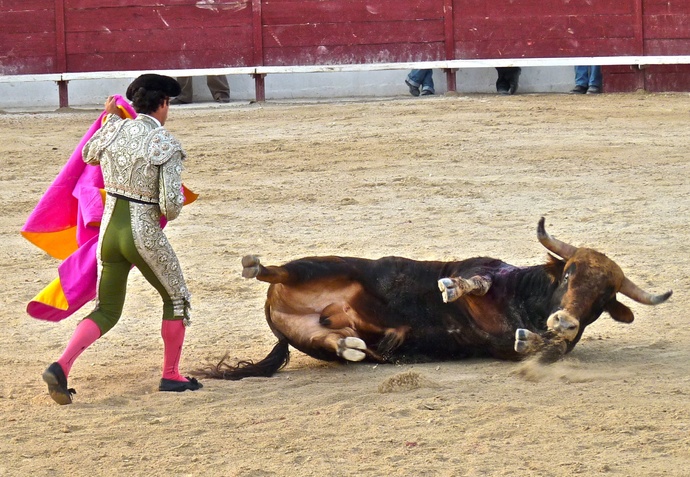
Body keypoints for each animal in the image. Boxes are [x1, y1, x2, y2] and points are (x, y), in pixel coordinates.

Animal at [198, 218, 671, 380]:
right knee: (282, 271)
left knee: (337, 345)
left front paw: (539, 338)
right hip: (320, 266)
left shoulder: (507, 344)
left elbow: (543, 348)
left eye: (603, 297)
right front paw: (451, 288)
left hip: (307, 334)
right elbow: (475, 281)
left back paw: (354, 345)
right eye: (570, 273)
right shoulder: (480, 269)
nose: (566, 320)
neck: (531, 303)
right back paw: (254, 265)